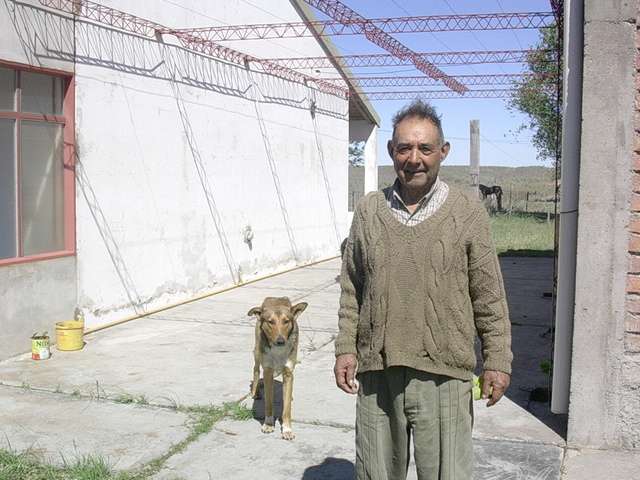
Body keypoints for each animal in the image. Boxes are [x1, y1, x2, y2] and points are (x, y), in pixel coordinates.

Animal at [249, 298, 308, 440]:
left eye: (286, 321)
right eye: (270, 322)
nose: (281, 341)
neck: (278, 351)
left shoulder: (288, 373)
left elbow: (286, 409)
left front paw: (287, 430)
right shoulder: (268, 372)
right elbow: (268, 404)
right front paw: (268, 424)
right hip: (257, 352)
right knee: (256, 370)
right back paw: (256, 392)